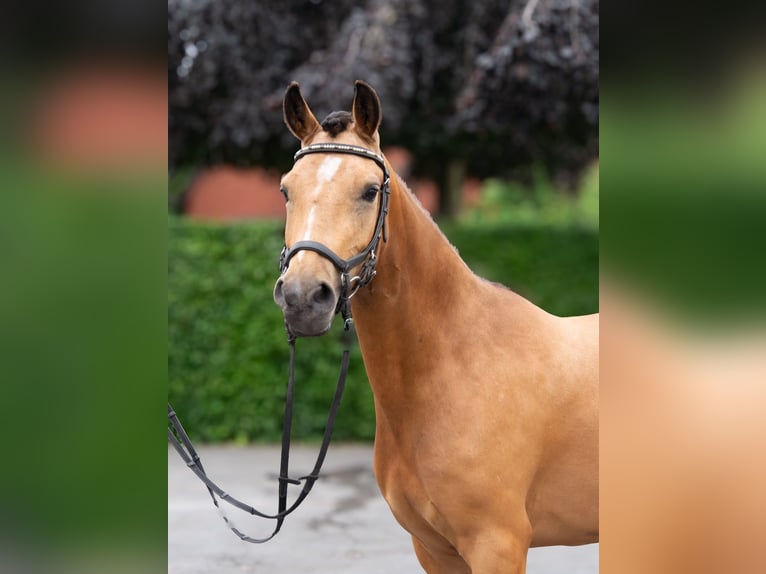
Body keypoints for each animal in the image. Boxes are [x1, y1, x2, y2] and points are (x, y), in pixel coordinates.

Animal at [274, 80, 599, 573]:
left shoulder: (496, 545)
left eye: (370, 190)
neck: (451, 366)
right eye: (287, 190)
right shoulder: (433, 548)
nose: (303, 297)